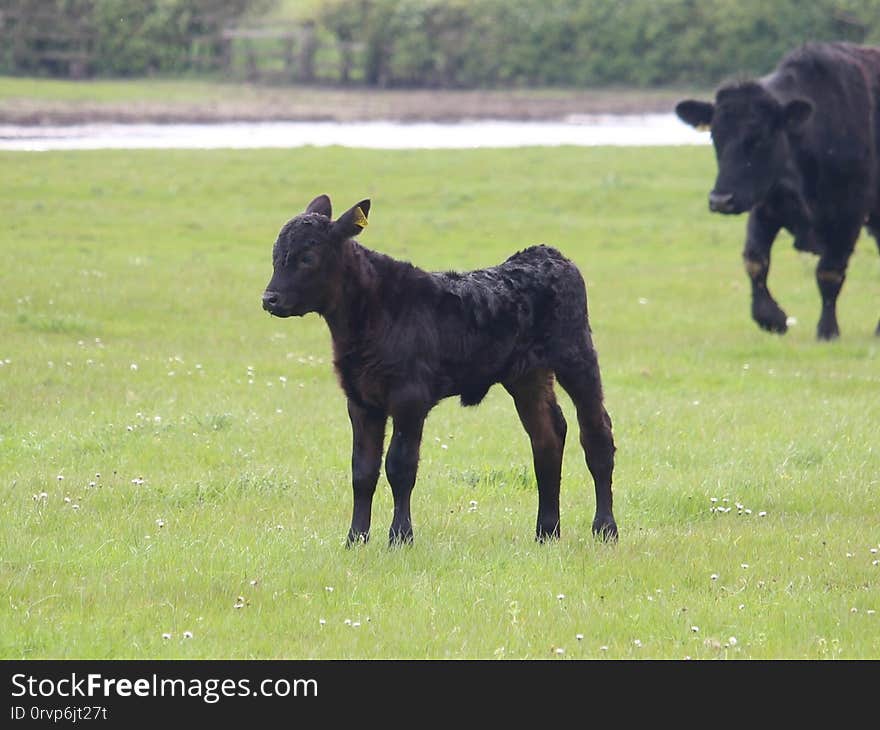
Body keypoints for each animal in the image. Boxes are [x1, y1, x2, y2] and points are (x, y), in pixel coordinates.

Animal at [262, 193, 620, 544]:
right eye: (276, 255)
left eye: (308, 257)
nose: (269, 299)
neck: (369, 315)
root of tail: (547, 253)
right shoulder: (361, 399)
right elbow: (362, 471)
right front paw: (355, 539)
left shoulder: (409, 397)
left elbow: (400, 466)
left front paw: (400, 537)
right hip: (527, 376)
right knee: (547, 436)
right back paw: (547, 531)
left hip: (577, 355)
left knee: (596, 433)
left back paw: (605, 528)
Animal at [676, 44, 876, 340]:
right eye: (714, 136)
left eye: (760, 137)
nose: (721, 200)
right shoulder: (764, 207)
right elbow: (755, 261)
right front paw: (771, 319)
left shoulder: (849, 213)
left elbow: (829, 273)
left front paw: (827, 330)